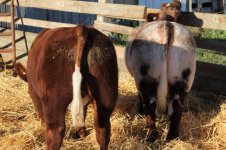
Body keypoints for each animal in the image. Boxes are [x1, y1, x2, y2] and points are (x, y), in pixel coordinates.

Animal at [125, 0, 196, 141]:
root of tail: (167, 25)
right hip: (182, 78)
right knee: (176, 108)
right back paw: (172, 138)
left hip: (146, 78)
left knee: (150, 106)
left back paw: (151, 136)